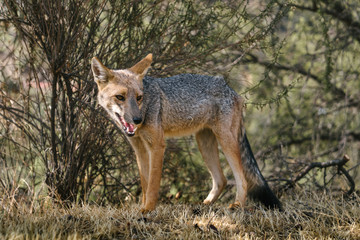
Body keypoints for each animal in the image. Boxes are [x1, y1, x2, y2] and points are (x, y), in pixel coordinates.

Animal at [90, 54, 282, 212]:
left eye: (139, 98)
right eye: (120, 97)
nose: (137, 120)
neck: (146, 105)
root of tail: (231, 88)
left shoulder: (157, 146)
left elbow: (152, 185)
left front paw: (148, 210)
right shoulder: (140, 149)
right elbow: (145, 184)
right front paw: (142, 207)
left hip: (226, 142)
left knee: (242, 179)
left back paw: (237, 206)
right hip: (204, 144)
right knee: (222, 180)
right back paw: (204, 204)